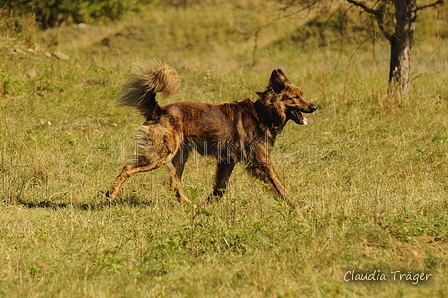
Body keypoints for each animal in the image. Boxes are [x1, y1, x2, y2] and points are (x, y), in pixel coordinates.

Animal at [105, 60, 316, 205]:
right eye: (295, 98)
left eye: (303, 95)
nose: (314, 107)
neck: (263, 113)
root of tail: (159, 110)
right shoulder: (261, 161)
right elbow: (278, 184)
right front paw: (295, 204)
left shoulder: (227, 161)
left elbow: (220, 187)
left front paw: (210, 205)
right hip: (161, 154)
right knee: (128, 168)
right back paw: (110, 193)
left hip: (179, 156)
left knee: (174, 182)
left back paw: (188, 204)